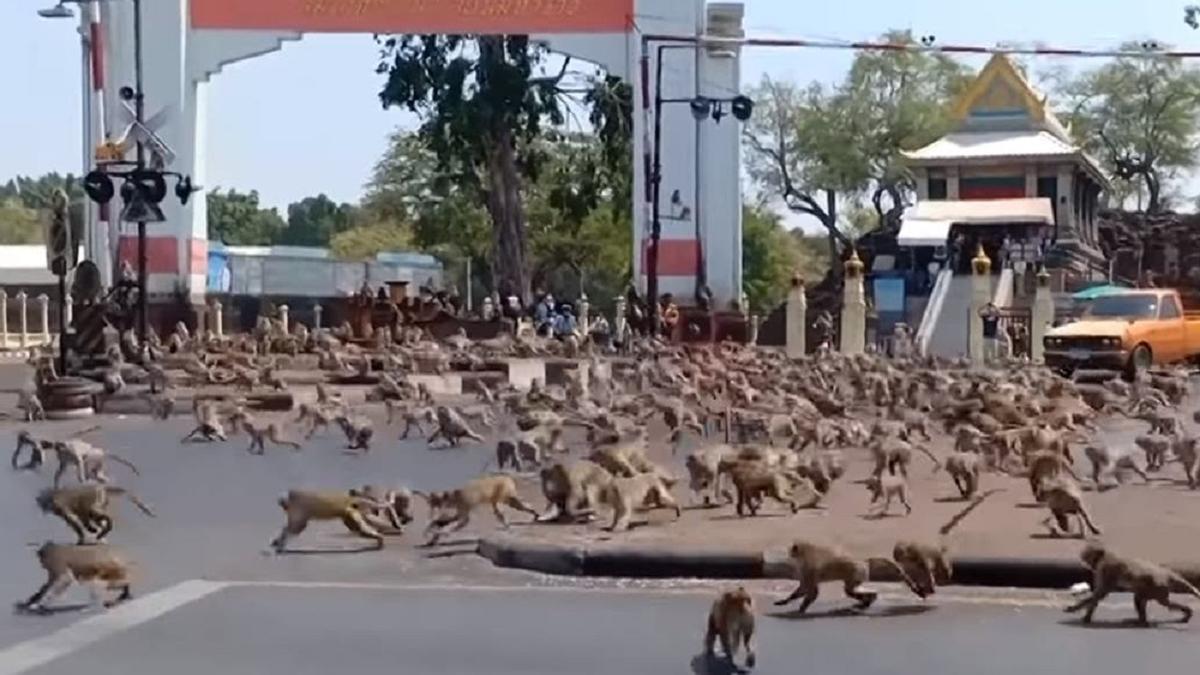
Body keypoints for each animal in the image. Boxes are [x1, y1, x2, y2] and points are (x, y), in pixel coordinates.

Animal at [267, 487, 398, 552]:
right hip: (348, 513)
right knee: (358, 529)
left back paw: (379, 539)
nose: (284, 507)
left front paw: (280, 544)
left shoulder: (299, 506)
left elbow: (296, 527)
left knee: (359, 529)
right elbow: (293, 527)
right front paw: (277, 542)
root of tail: (350, 499)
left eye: (283, 504)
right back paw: (378, 539)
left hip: (350, 511)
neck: (291, 498)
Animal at [777, 538, 926, 612]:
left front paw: (800, 607)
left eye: (791, 551)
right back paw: (867, 601)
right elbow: (805, 589)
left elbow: (812, 591)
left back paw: (868, 599)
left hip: (857, 573)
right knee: (851, 590)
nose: (788, 555)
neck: (806, 551)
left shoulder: (809, 569)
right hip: (859, 574)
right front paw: (787, 601)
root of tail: (863, 561)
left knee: (849, 590)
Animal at [1065, 538, 1195, 624]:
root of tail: (1165, 573)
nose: (1085, 561)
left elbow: (1100, 594)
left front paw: (1077, 610)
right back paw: (1142, 621)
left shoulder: (1105, 568)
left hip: (1157, 587)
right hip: (1154, 588)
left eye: (1087, 555)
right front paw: (1085, 615)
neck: (1106, 554)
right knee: (1139, 598)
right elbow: (1098, 595)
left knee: (1165, 603)